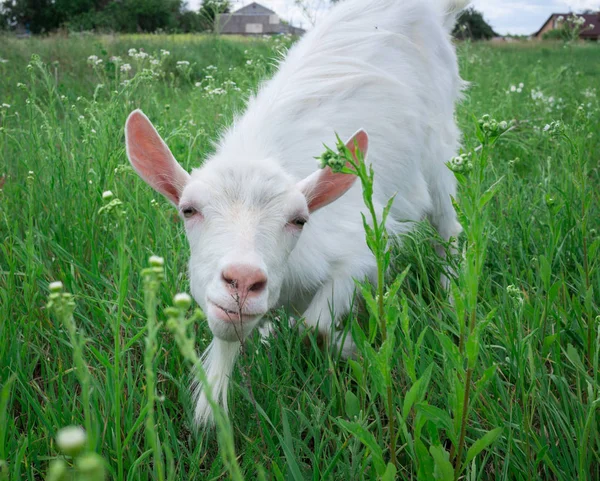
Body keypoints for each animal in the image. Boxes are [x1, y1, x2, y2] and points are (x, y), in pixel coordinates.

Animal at [124, 0, 466, 424]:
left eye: (299, 220)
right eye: (188, 210)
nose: (242, 280)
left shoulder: (357, 253)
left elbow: (313, 327)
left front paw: (345, 346)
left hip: (439, 148)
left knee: (449, 224)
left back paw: (453, 297)